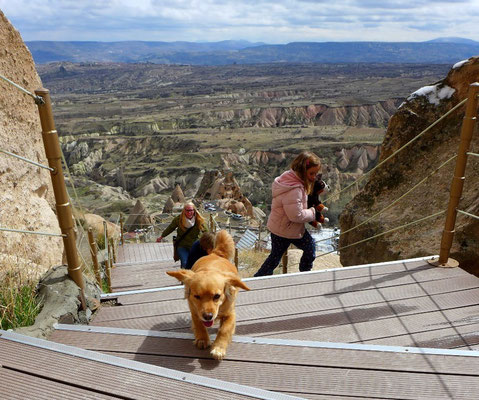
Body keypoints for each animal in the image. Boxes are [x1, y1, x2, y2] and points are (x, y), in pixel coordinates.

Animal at [167, 230, 249, 360]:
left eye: (217, 296)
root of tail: (215, 253)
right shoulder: (195, 312)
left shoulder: (231, 314)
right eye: (197, 296)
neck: (210, 268)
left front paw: (218, 348)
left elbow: (224, 330)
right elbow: (199, 324)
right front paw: (202, 339)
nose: (208, 316)